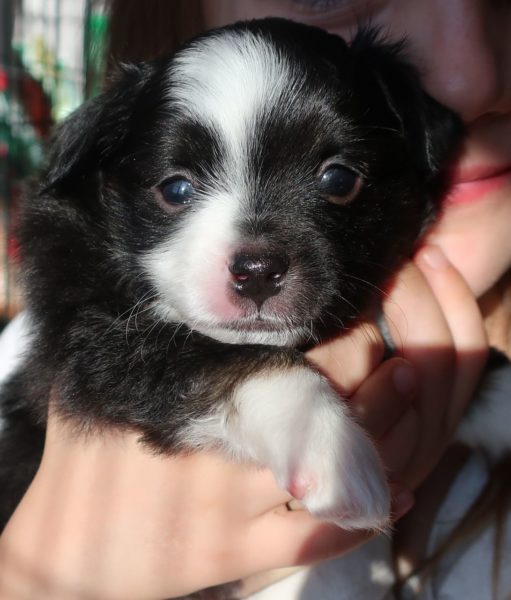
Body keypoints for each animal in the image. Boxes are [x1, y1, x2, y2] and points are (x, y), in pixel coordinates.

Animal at [0, 19, 464, 536]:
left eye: (339, 180)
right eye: (176, 188)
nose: (257, 272)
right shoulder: (92, 341)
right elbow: (223, 357)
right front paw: (333, 452)